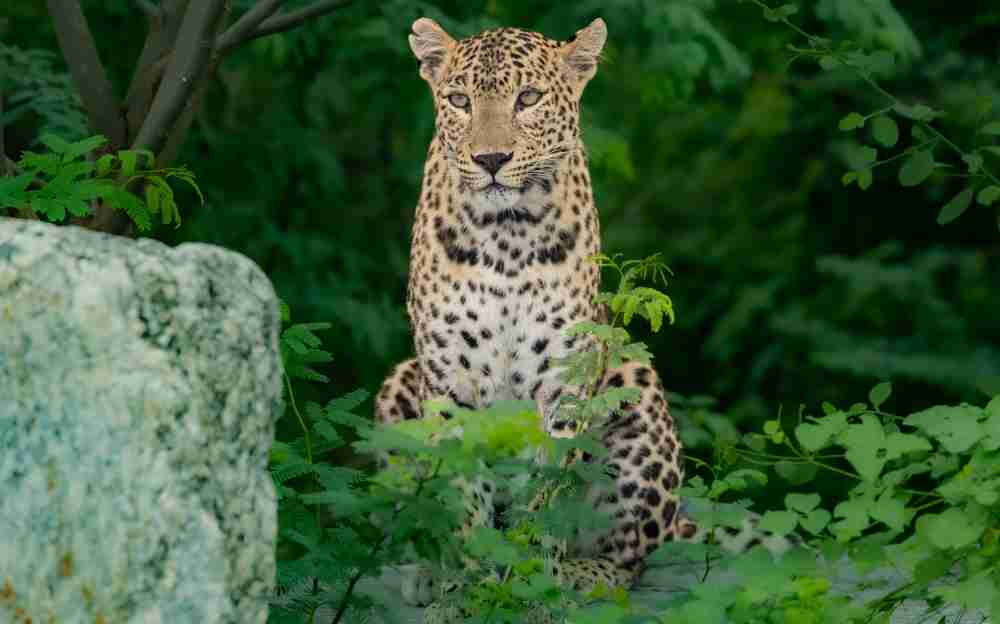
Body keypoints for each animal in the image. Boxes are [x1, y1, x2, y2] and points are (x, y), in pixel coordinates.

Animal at [373, 16, 784, 621]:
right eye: (459, 100)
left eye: (528, 98)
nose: (490, 160)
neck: (505, 236)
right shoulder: (449, 381)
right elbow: (463, 495)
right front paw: (462, 590)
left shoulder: (564, 379)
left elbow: (547, 494)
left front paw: (532, 588)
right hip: (399, 386)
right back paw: (426, 572)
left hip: (634, 389)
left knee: (631, 559)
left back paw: (581, 576)